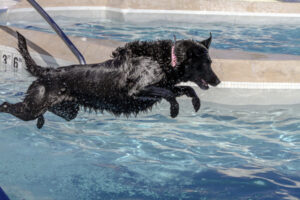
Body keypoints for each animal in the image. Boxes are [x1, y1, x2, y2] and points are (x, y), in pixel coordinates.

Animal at [0, 31, 220, 128]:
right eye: (205, 63)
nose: (218, 81)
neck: (165, 60)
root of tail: (46, 72)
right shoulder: (137, 90)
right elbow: (168, 93)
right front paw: (174, 109)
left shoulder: (164, 86)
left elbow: (185, 89)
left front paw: (196, 103)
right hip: (32, 108)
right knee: (6, 105)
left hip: (69, 110)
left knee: (46, 112)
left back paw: (41, 121)